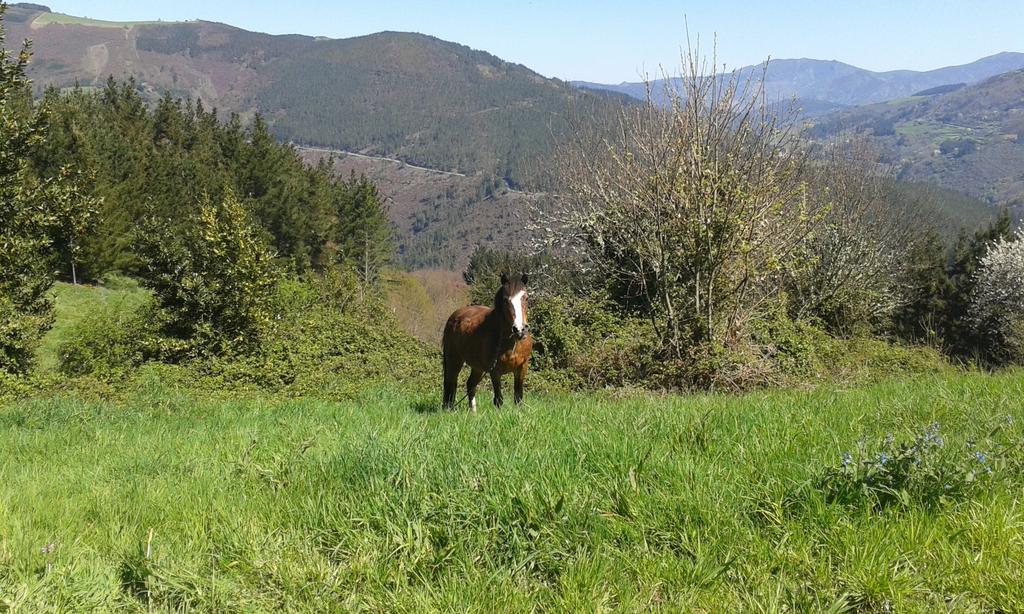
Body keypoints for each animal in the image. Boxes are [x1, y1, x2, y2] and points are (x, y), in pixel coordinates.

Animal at [442, 272, 532, 407]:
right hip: (454, 360)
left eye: (525, 298)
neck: (511, 342)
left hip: (478, 367)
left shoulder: (522, 368)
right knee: (451, 383)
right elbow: (498, 399)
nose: (519, 329)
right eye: (506, 300)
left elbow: (518, 398)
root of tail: (454, 316)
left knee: (470, 384)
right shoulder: (495, 371)